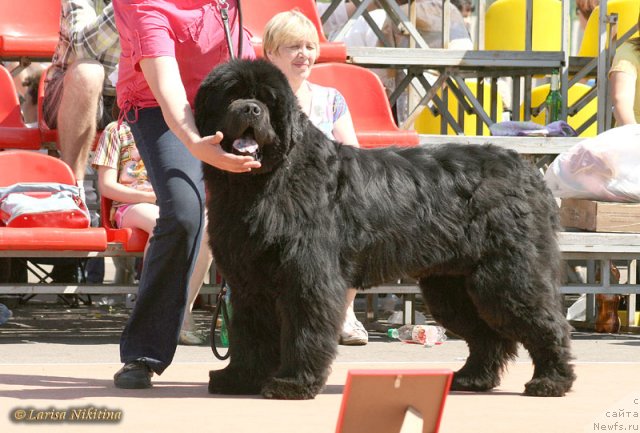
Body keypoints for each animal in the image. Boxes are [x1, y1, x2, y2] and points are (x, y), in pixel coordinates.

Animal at [195, 57, 576, 398]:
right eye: (231, 95)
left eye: (267, 100)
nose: (250, 109)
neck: (264, 183)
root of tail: (529, 173)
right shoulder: (249, 283)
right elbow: (249, 333)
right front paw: (240, 378)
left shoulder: (306, 278)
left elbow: (304, 331)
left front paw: (292, 384)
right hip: (450, 286)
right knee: (488, 337)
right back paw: (471, 378)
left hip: (506, 276)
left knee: (547, 323)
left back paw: (550, 381)